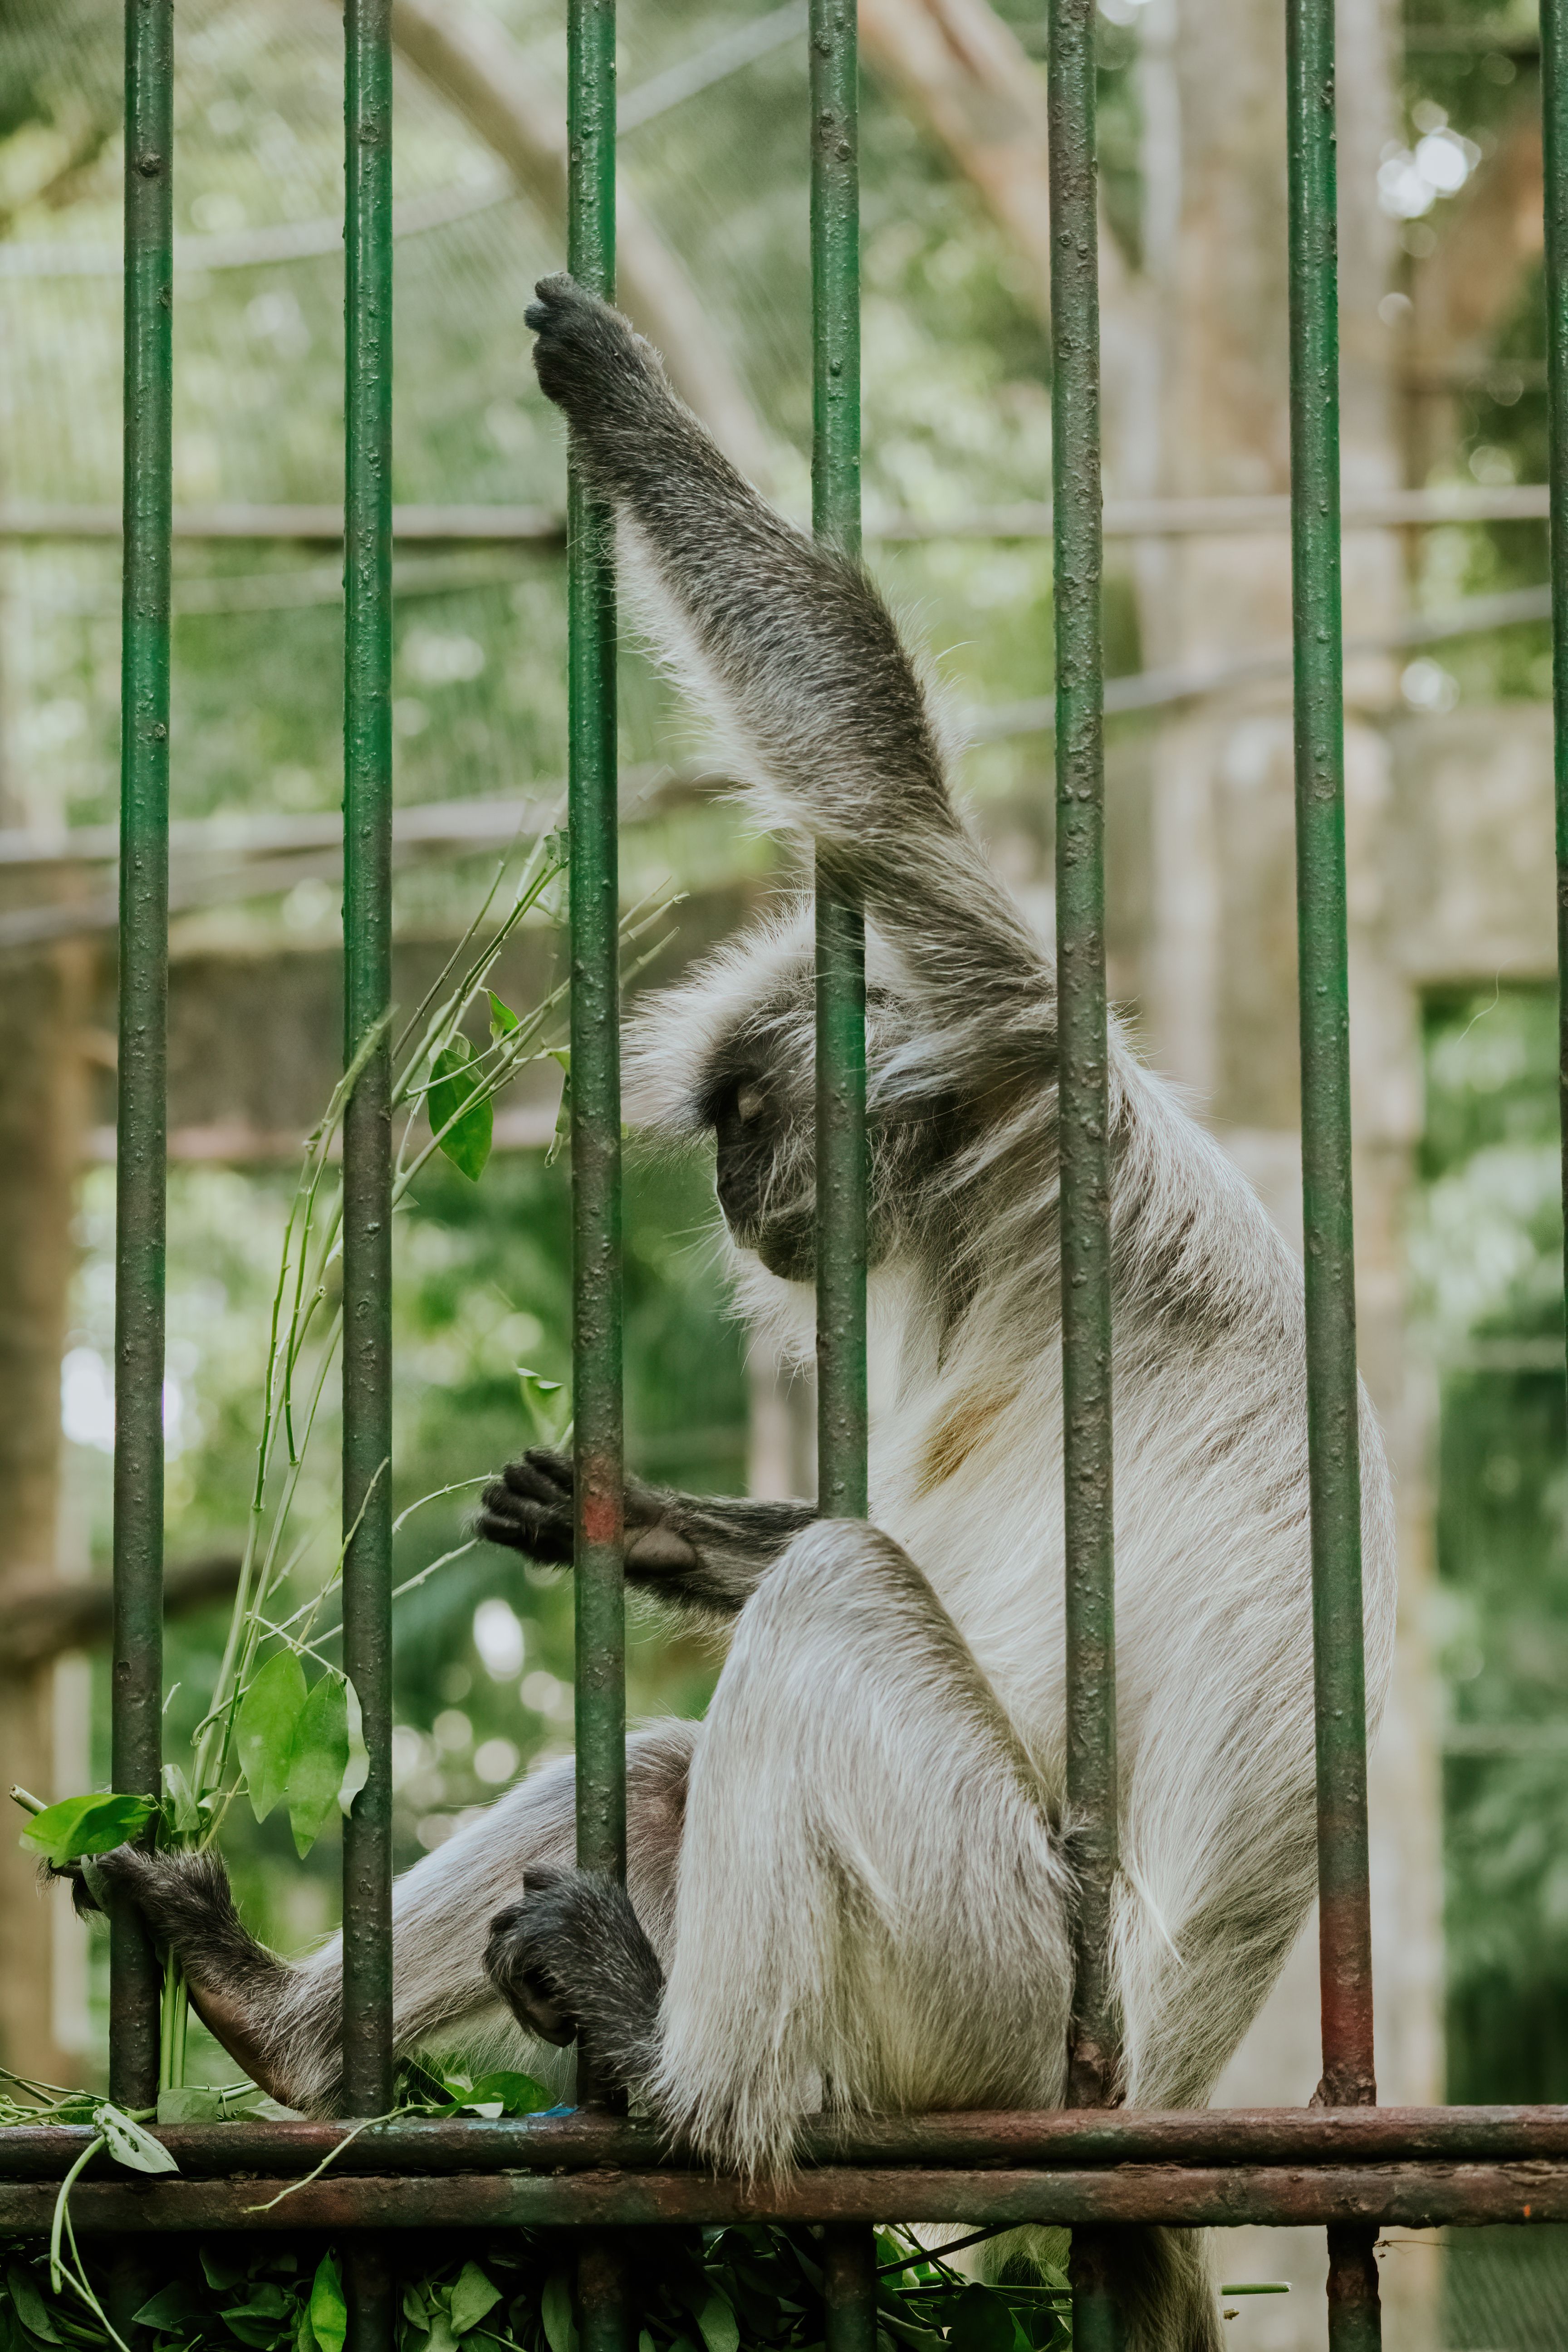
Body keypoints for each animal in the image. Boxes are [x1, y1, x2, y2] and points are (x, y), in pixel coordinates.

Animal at [90, 274, 1398, 2352]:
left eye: (744, 1123)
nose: (721, 1196)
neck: (984, 1209)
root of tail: (1158, 2082)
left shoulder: (1026, 1039)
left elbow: (871, 793)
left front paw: (621, 398)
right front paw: (629, 1521)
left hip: (1008, 1995)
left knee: (845, 1604)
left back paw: (677, 2069)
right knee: (674, 1755)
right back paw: (287, 2030)